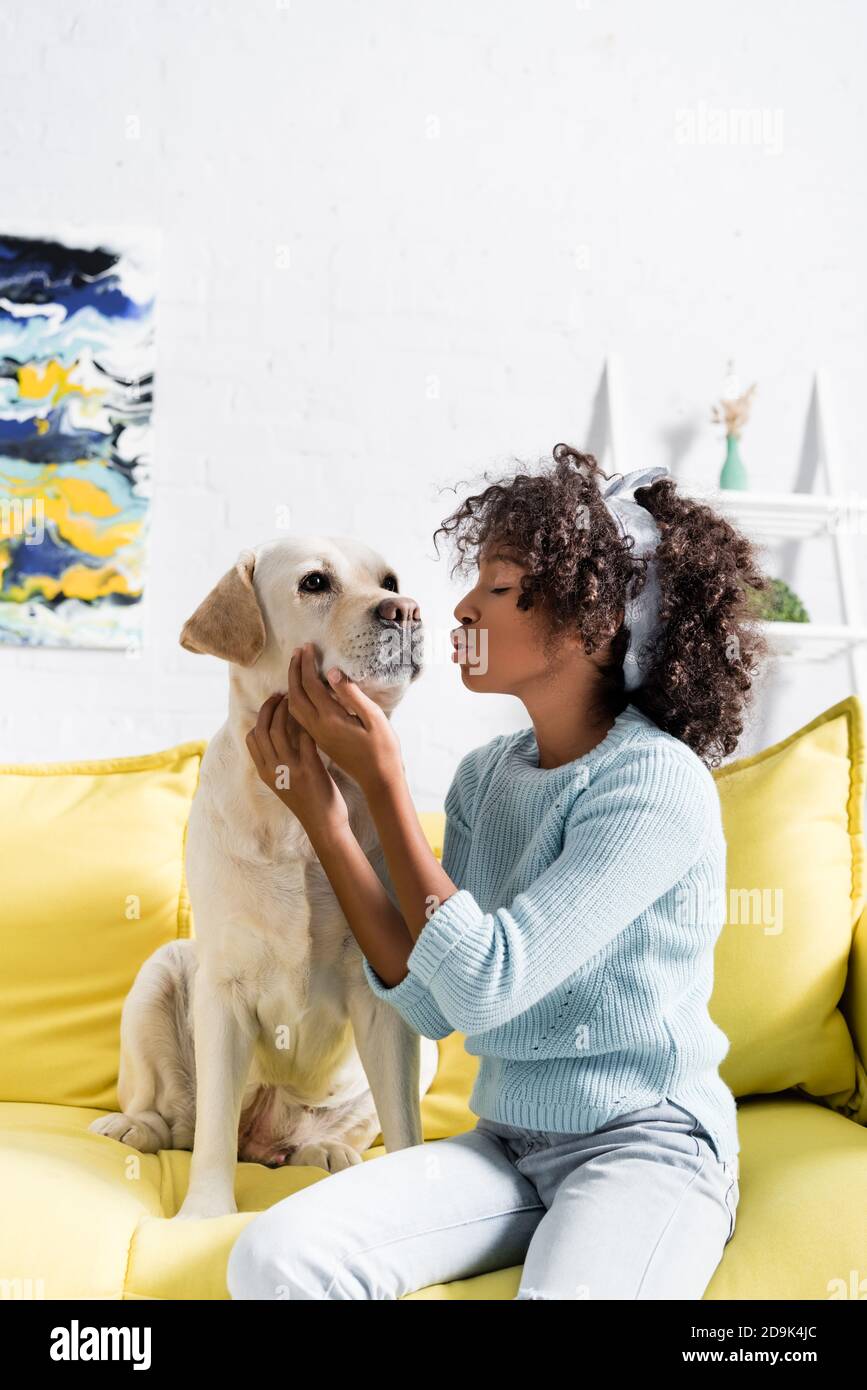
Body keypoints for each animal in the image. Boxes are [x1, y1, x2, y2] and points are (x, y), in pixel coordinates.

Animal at [91, 533, 436, 1217]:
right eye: (314, 583)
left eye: (389, 580)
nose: (406, 610)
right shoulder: (223, 988)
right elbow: (213, 1136)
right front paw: (205, 1213)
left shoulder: (385, 994)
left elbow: (405, 1128)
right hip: (161, 974)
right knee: (181, 1120)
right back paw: (135, 1127)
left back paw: (325, 1150)